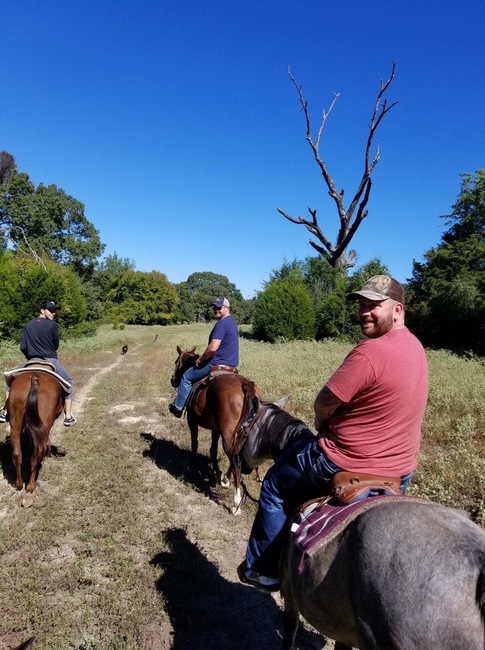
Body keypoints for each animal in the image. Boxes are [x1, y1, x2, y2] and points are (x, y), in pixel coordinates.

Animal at [169, 344, 260, 512]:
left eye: (176, 361)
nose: (173, 380)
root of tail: (246, 386)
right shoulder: (216, 429)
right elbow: (213, 450)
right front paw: (215, 474)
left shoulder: (192, 421)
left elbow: (194, 444)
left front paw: (192, 468)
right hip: (239, 433)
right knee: (236, 454)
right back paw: (226, 479)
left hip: (228, 434)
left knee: (234, 457)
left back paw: (236, 502)